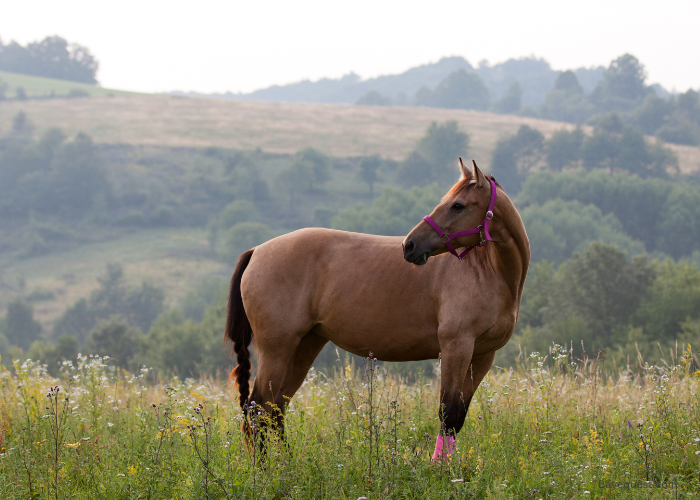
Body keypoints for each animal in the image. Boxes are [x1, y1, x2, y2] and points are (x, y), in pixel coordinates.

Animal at [227, 158, 528, 458]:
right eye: (450, 202)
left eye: (458, 205)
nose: (409, 245)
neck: (488, 271)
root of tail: (256, 251)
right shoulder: (456, 348)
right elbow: (447, 414)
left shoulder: (482, 356)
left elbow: (457, 418)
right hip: (277, 349)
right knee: (258, 408)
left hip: (304, 346)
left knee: (275, 409)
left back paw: (288, 464)